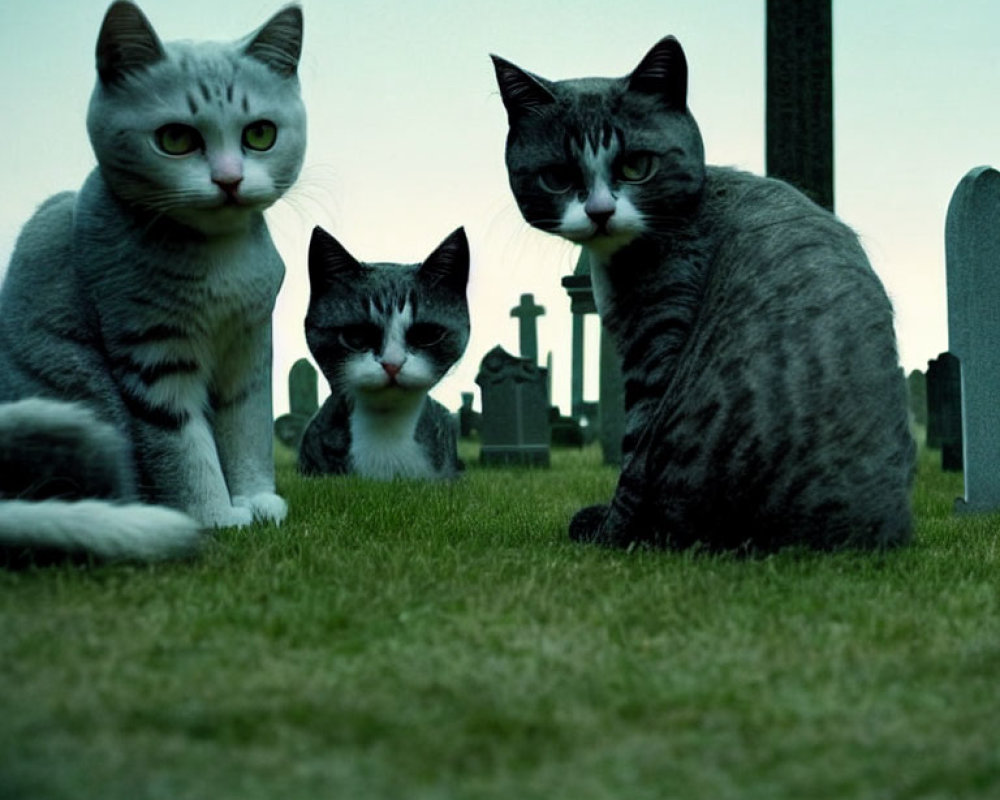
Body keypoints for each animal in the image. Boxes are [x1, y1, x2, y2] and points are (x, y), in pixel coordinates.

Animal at [0, 1, 306, 564]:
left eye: (260, 135)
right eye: (176, 140)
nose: (229, 180)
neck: (220, 257)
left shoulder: (251, 345)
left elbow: (246, 425)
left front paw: (255, 499)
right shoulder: (151, 349)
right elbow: (182, 446)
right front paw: (216, 514)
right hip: (78, 409)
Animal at [492, 36, 916, 552]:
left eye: (637, 166)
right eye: (556, 177)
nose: (599, 211)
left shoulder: (660, 334)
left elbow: (634, 454)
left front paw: (610, 533)